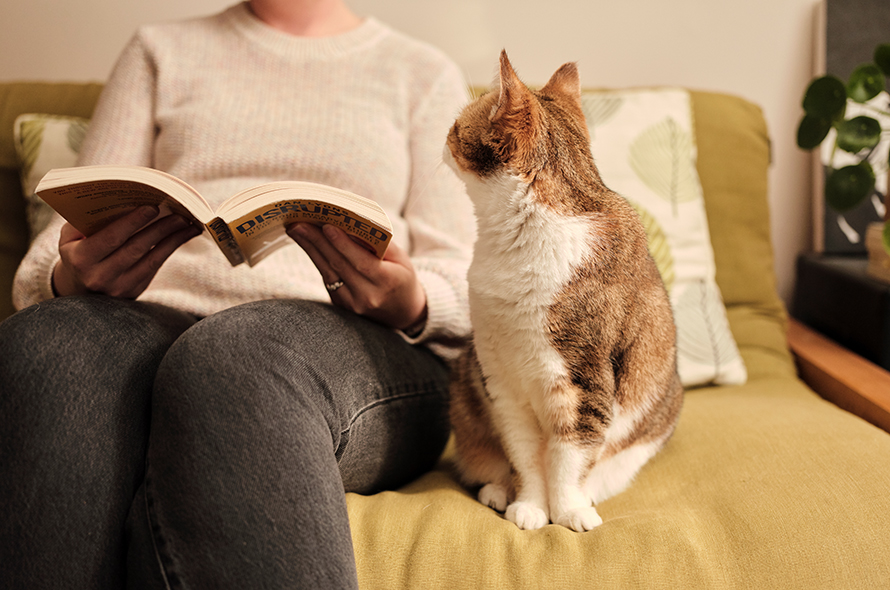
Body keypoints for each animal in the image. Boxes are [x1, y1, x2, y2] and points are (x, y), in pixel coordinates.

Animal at [442, 49, 680, 532]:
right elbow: (526, 460)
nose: (442, 136)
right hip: (466, 384)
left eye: (458, 128)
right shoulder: (502, 385)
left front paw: (568, 512)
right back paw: (498, 491)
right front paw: (531, 507)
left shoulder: (584, 385)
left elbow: (569, 459)